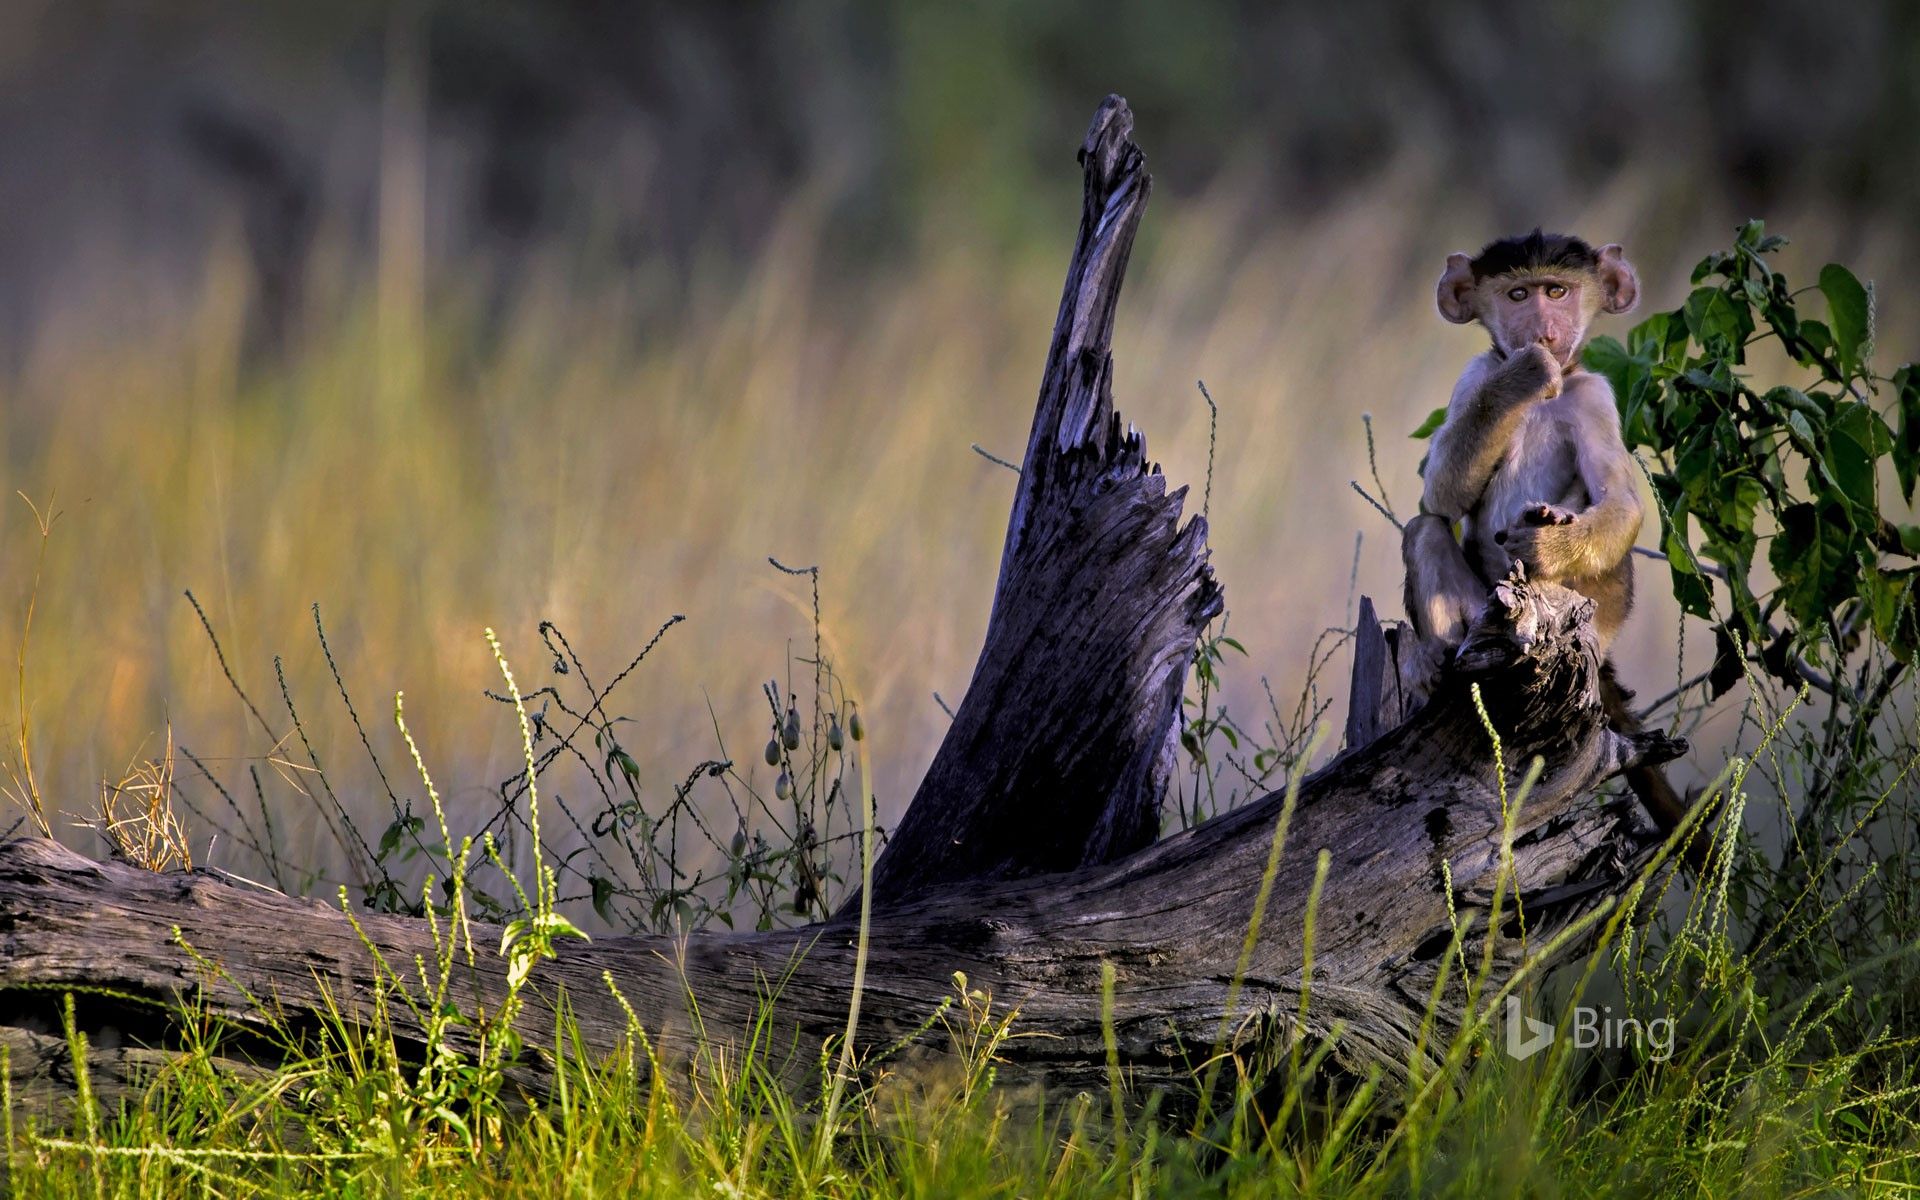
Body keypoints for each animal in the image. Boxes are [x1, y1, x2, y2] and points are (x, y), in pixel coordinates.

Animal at [1402, 229, 1693, 844]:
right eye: (1518, 294)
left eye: (1556, 290)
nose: (1544, 329)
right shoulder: (1475, 374)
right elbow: (1439, 496)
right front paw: (1524, 374)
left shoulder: (1595, 396)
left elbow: (1621, 501)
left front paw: (1546, 543)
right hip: (1485, 617)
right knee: (1425, 530)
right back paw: (1439, 667)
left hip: (1590, 621)